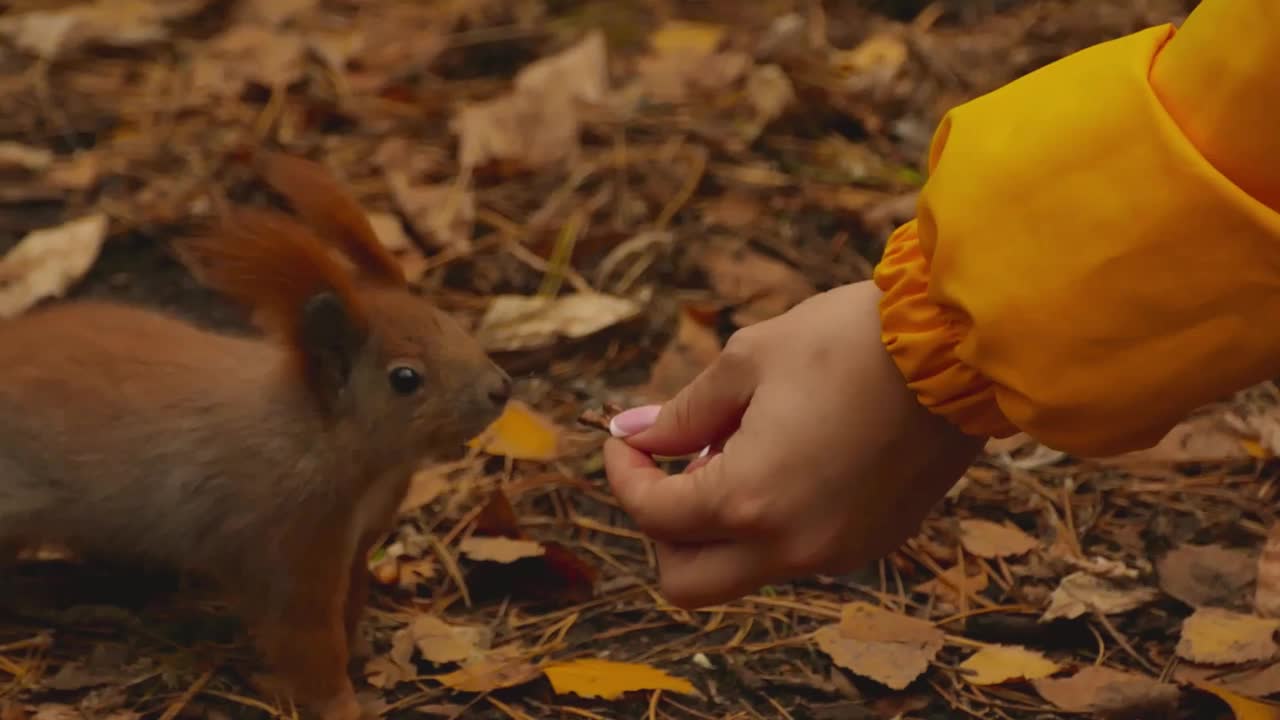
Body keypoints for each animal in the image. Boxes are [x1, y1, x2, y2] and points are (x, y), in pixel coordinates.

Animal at [1, 151, 509, 717]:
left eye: (447, 319)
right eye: (405, 378)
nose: (500, 389)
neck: (321, 439)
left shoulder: (354, 546)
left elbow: (350, 604)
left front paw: (360, 649)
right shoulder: (284, 547)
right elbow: (307, 640)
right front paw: (340, 703)